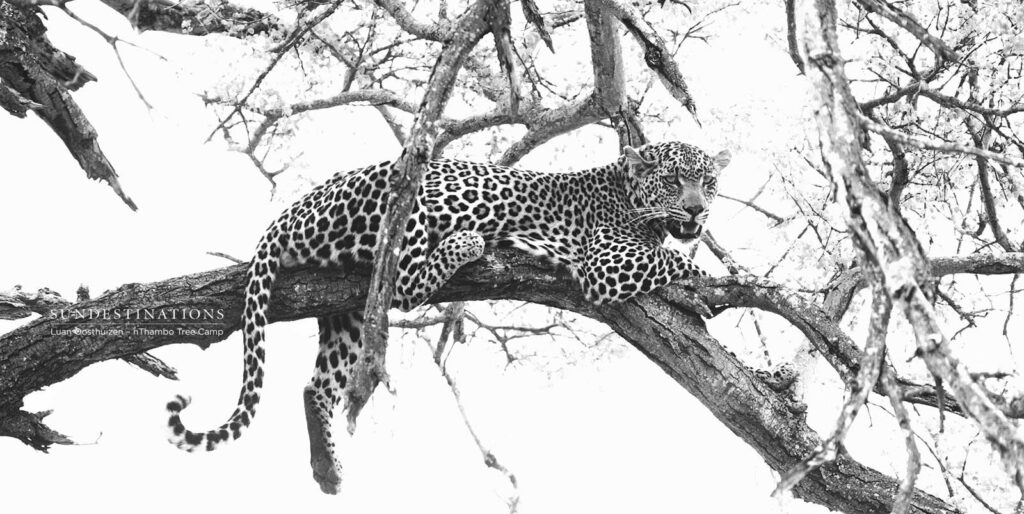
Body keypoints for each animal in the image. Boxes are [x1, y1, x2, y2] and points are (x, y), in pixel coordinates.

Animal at [164, 140, 731, 493]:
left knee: (317, 385)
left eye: (709, 182)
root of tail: (291, 210)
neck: (627, 192)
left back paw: (327, 468)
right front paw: (712, 286)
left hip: (347, 312)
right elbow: (679, 260)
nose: (698, 210)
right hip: (416, 198)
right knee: (406, 283)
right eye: (674, 181)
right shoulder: (606, 261)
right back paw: (468, 244)